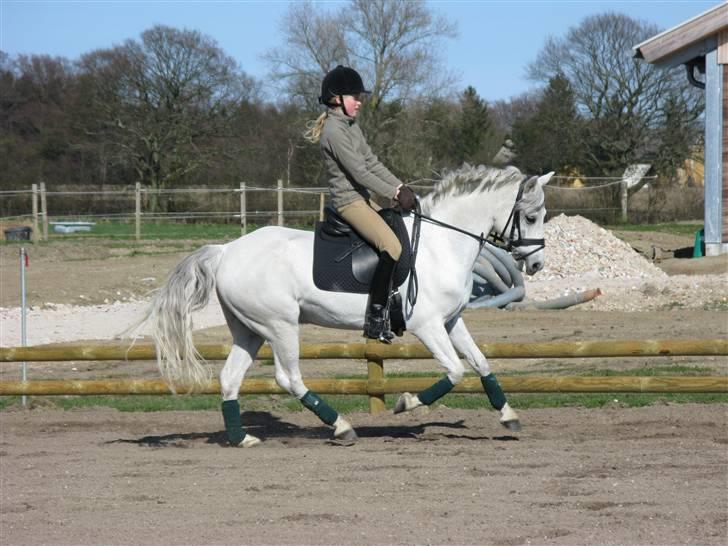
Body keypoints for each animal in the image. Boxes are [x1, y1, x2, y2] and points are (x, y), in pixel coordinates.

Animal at [141, 166, 552, 446]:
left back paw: (242, 438)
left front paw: (509, 417)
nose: (535, 265)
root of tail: (226, 250)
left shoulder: (451, 322)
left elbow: (482, 364)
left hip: (249, 330)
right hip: (280, 326)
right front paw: (406, 403)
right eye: (531, 216)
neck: (441, 244)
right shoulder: (428, 326)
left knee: (230, 378)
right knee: (288, 378)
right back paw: (341, 426)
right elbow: (455, 372)